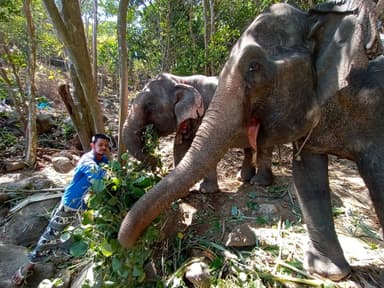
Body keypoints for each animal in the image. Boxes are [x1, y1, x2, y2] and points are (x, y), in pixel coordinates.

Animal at [123, 72, 272, 191]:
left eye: (148, 107)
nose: (158, 163)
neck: (182, 80)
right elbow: (179, 147)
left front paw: (206, 191)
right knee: (250, 148)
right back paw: (243, 179)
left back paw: (258, 183)